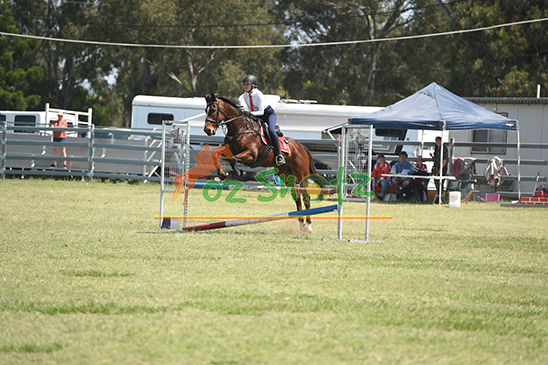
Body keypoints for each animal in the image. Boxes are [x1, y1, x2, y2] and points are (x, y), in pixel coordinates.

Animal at [203, 93, 324, 230]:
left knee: (306, 196)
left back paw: (308, 226)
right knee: (297, 197)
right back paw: (302, 225)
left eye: (213, 110)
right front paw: (223, 173)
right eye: (206, 110)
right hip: (286, 175)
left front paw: (239, 173)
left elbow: (233, 160)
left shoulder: (252, 155)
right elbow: (216, 154)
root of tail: (301, 147)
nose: (208, 130)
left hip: (301, 173)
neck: (240, 128)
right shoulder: (230, 151)